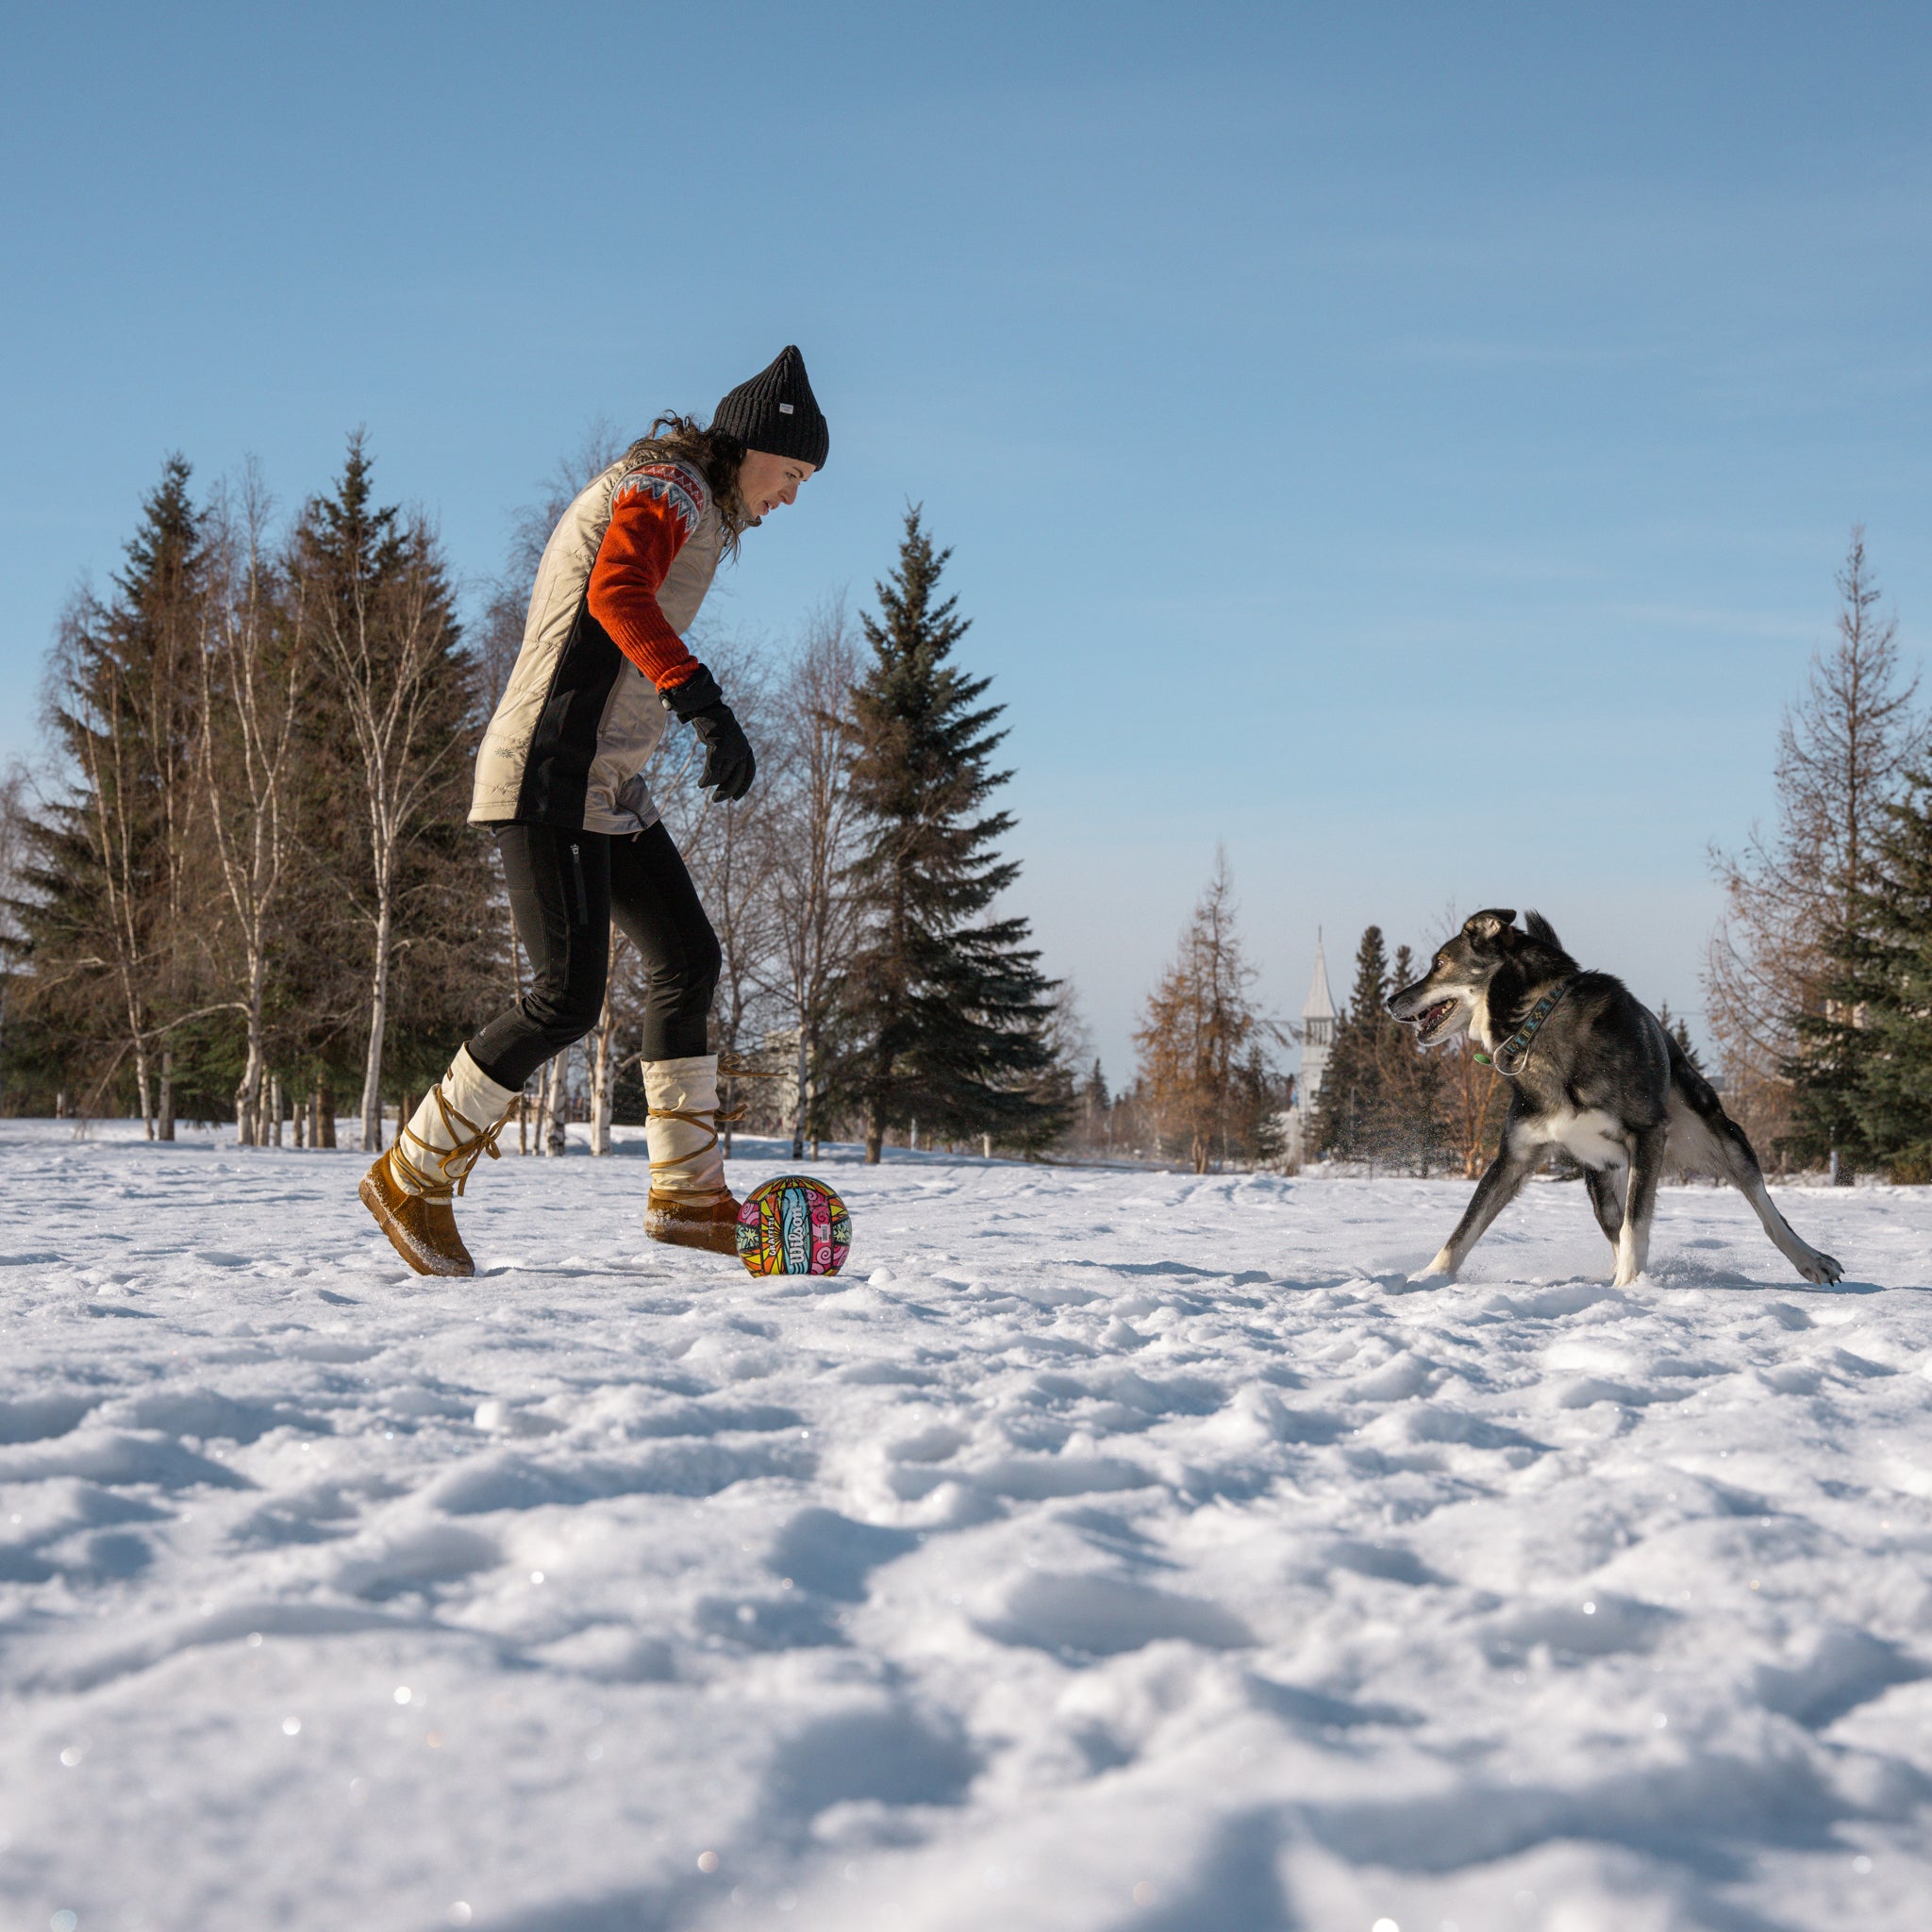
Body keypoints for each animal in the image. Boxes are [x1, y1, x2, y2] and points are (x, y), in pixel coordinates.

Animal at [1391, 911, 1839, 1291]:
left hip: (1723, 1139)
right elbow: (1465, 1227)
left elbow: (1635, 1225)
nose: (1392, 1001)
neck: (1536, 1022)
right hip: (1602, 1184)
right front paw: (1429, 1277)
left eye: (1439, 963)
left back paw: (1810, 1258)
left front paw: (1629, 1287)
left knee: (1765, 1207)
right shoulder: (1514, 1157)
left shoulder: (1647, 1135)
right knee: (1614, 1225)